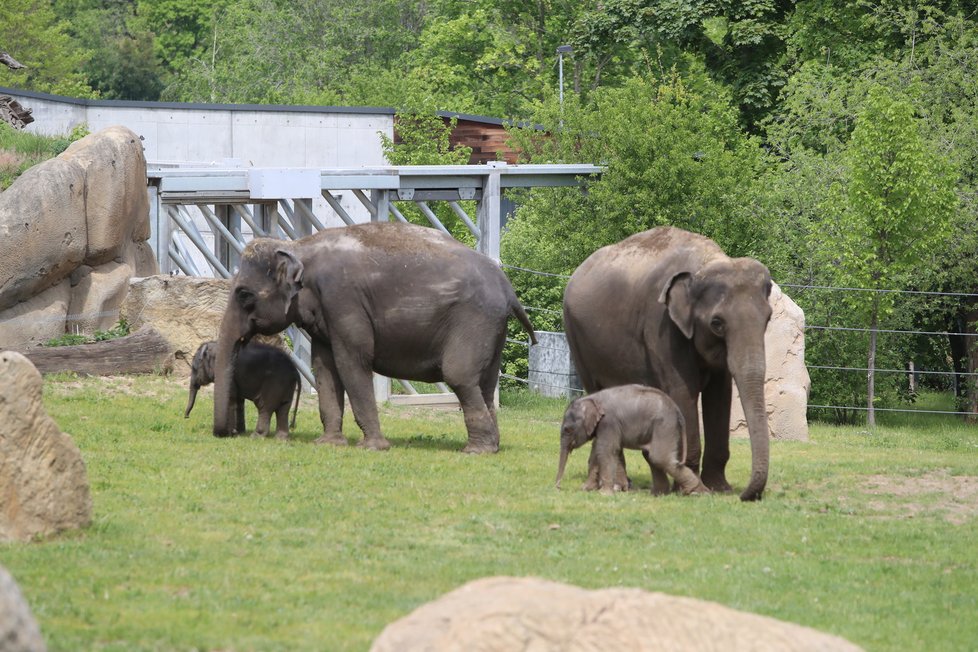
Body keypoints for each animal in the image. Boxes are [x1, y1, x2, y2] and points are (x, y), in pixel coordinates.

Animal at [214, 220, 536, 454]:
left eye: (243, 294)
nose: (228, 433)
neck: (298, 246)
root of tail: (508, 289)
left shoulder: (342, 299)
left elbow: (352, 361)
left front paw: (372, 448)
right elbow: (324, 367)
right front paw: (329, 444)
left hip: (475, 320)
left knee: (460, 376)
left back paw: (475, 451)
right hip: (493, 329)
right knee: (485, 383)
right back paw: (492, 447)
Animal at [552, 384, 704, 496]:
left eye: (567, 430)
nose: (558, 487)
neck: (592, 398)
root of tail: (678, 411)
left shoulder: (609, 422)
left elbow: (605, 450)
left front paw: (604, 494)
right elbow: (597, 452)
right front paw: (586, 489)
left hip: (664, 426)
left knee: (660, 458)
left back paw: (697, 492)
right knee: (652, 457)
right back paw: (659, 493)